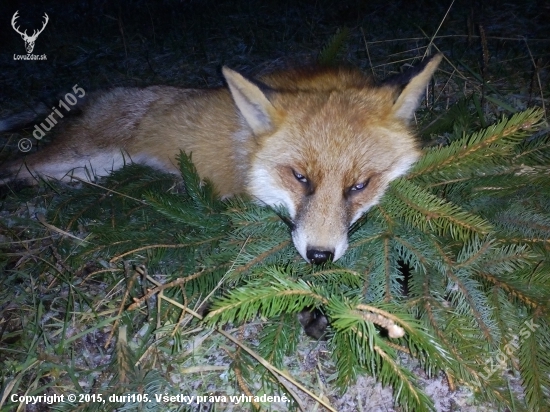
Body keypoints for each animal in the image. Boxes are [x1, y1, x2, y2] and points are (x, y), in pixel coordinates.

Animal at [0, 54, 444, 264]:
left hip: (95, 168)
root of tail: (102, 95)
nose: (320, 256)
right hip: (81, 154)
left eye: (359, 185)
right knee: (14, 165)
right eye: (300, 177)